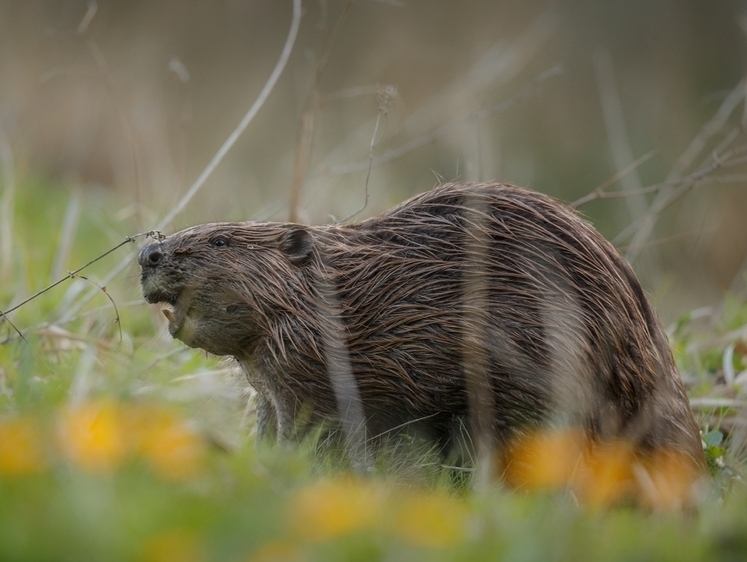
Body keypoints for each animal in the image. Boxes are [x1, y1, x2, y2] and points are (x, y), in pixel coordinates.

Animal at [139, 183, 708, 472]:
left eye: (219, 242)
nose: (148, 254)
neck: (336, 297)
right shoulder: (273, 382)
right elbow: (271, 425)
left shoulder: (322, 371)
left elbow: (323, 433)